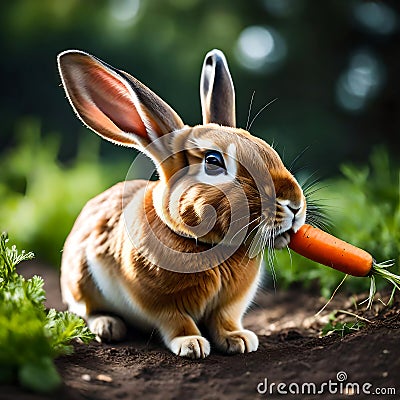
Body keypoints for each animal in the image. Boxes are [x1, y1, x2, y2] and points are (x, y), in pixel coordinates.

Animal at [57, 48, 306, 358]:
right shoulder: (159, 304)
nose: (295, 204)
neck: (206, 245)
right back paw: (108, 326)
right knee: (86, 310)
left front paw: (239, 340)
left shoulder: (230, 305)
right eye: (213, 161)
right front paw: (192, 345)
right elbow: (176, 323)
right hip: (81, 280)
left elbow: (225, 319)